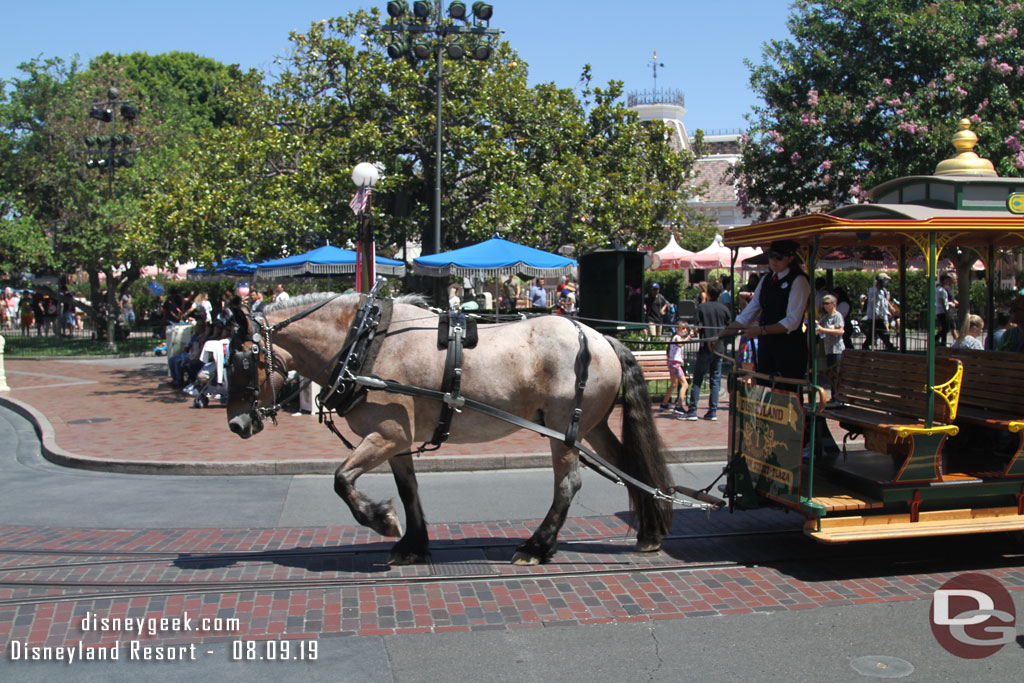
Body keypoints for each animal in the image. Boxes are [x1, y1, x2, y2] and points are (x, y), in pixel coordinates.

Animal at [224, 294, 671, 565]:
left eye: (241, 361)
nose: (236, 423)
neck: (364, 343)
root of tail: (600, 337)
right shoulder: (397, 440)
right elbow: (408, 490)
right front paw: (412, 544)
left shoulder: (387, 435)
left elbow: (341, 479)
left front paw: (381, 519)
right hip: (590, 427)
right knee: (630, 467)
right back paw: (649, 533)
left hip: (565, 430)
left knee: (569, 483)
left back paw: (537, 546)